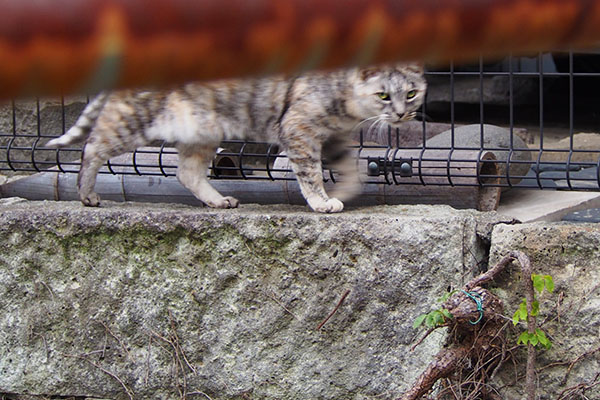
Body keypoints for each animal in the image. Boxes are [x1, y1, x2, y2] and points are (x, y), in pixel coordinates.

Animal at [45, 63, 426, 212]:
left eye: (411, 94)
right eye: (382, 95)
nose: (401, 114)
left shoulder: (331, 138)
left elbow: (353, 172)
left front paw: (341, 194)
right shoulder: (299, 130)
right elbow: (310, 174)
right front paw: (322, 202)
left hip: (200, 131)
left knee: (187, 173)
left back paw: (219, 201)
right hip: (134, 119)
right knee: (92, 145)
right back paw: (87, 195)